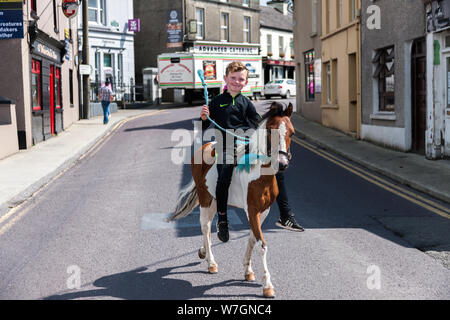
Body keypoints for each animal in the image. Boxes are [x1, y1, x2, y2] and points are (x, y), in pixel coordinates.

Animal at [168, 102, 296, 298]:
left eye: (292, 132)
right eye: (270, 130)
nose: (282, 164)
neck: (259, 172)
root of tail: (206, 146)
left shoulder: (263, 212)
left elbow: (252, 239)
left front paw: (248, 271)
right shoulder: (252, 210)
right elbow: (261, 245)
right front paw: (267, 285)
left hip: (214, 199)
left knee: (209, 226)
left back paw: (203, 252)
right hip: (205, 198)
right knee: (205, 226)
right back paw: (211, 263)